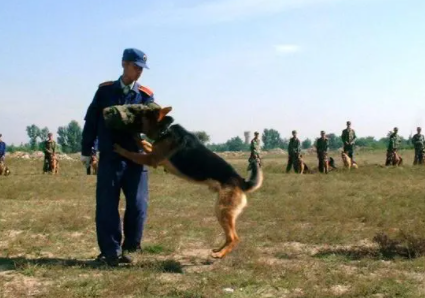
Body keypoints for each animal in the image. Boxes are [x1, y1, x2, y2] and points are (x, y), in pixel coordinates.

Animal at [110, 107, 262, 258]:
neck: (165, 130)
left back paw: (220, 254)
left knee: (234, 238)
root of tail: (242, 182)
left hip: (222, 210)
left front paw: (120, 148)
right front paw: (136, 138)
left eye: (140, 112)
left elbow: (132, 154)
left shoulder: (151, 159)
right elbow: (145, 143)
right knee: (229, 236)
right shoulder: (153, 153)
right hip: (221, 212)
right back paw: (218, 250)